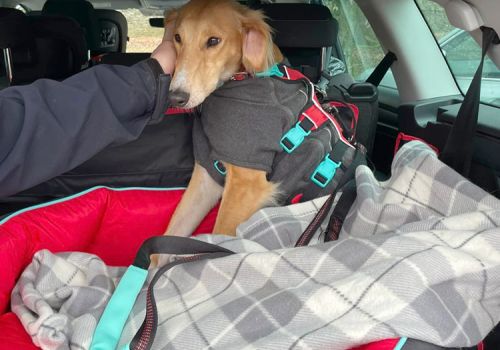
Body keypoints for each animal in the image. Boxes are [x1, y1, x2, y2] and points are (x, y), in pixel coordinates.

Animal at [161, 0, 284, 239]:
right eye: (178, 37)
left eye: (213, 41)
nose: (175, 98)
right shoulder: (206, 178)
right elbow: (173, 232)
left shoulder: (246, 185)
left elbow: (221, 235)